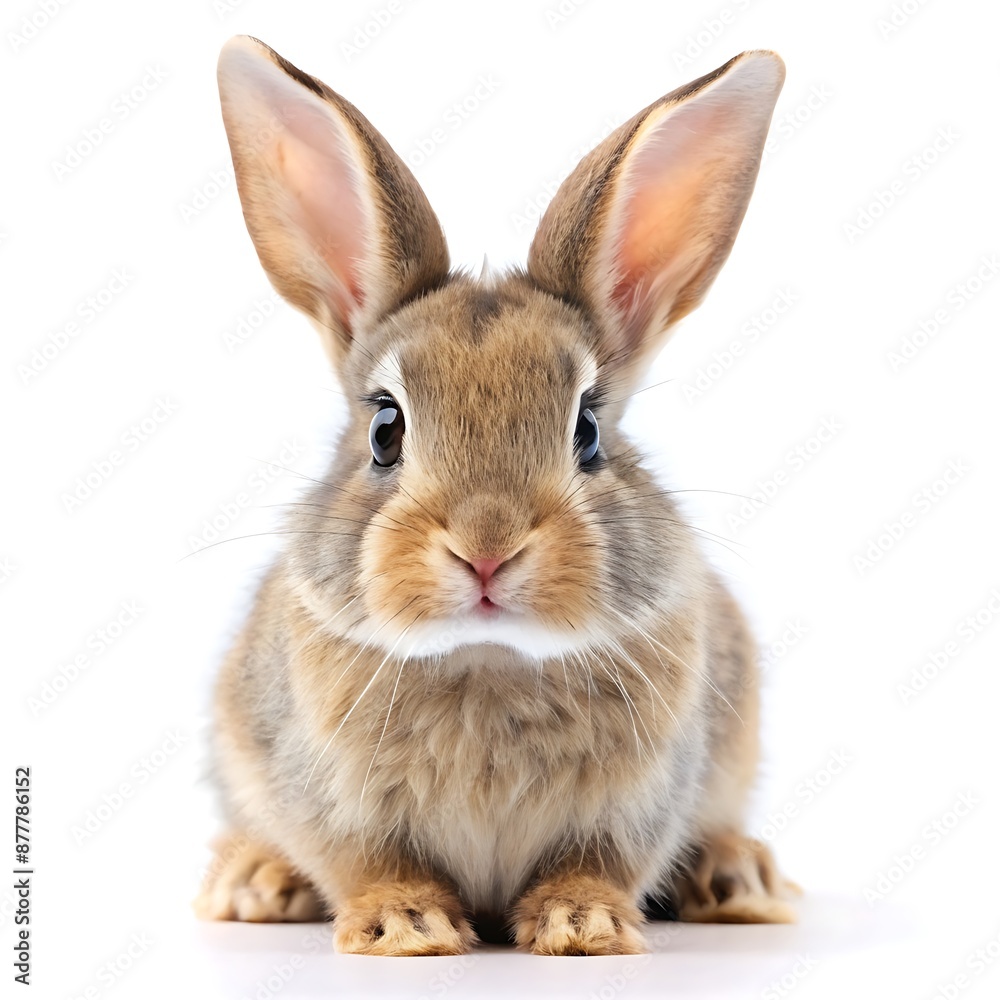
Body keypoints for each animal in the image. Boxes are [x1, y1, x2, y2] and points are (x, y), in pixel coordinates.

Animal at [195, 35, 798, 956]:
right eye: (386, 428)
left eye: (588, 430)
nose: (487, 547)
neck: (488, 660)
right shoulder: (324, 796)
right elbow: (368, 862)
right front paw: (405, 927)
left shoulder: (637, 804)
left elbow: (595, 862)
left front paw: (584, 925)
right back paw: (254, 884)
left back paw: (739, 878)